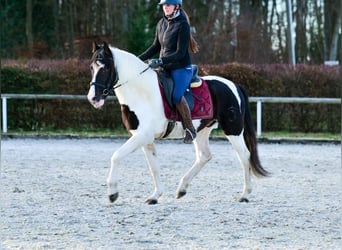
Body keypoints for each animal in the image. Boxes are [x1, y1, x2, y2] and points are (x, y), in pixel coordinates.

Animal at [87, 42, 268, 204]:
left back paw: (245, 194)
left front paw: (112, 193)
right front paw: (155, 196)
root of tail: (234, 85)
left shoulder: (142, 136)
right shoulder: (145, 138)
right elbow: (154, 167)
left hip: (233, 129)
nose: (93, 98)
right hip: (201, 131)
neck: (141, 92)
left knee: (244, 156)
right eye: (91, 68)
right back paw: (182, 189)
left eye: (105, 68)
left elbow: (116, 156)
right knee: (204, 156)